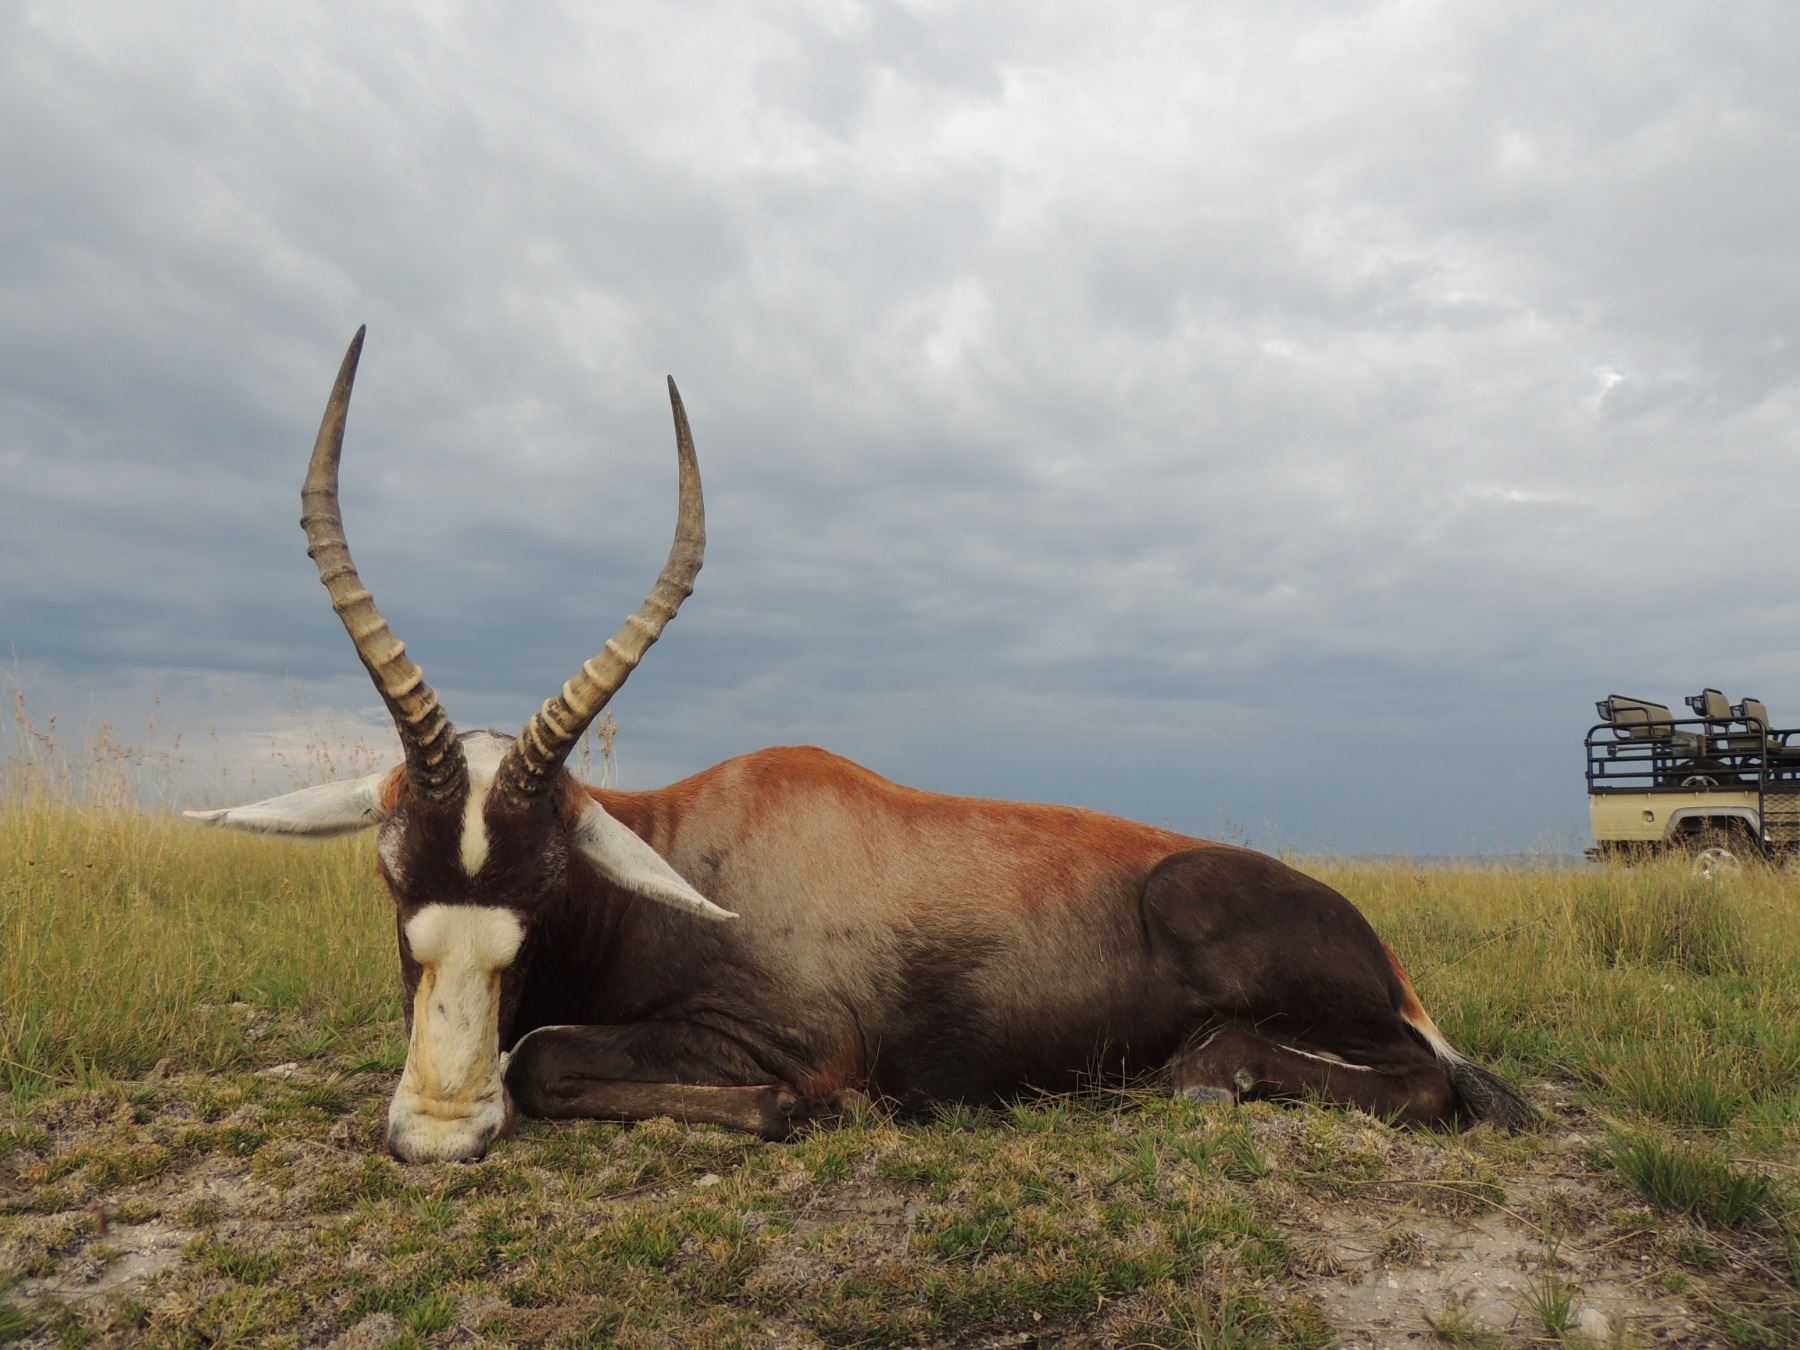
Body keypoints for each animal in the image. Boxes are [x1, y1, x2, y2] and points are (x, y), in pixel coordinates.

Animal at [188, 328, 1537, 1163]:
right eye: (389, 871)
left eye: (549, 884)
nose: (437, 1134)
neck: (697, 849)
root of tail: (1383, 953)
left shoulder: (786, 1038)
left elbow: (546, 1056)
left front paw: (798, 1115)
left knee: (1428, 1082)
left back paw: (1207, 1074)